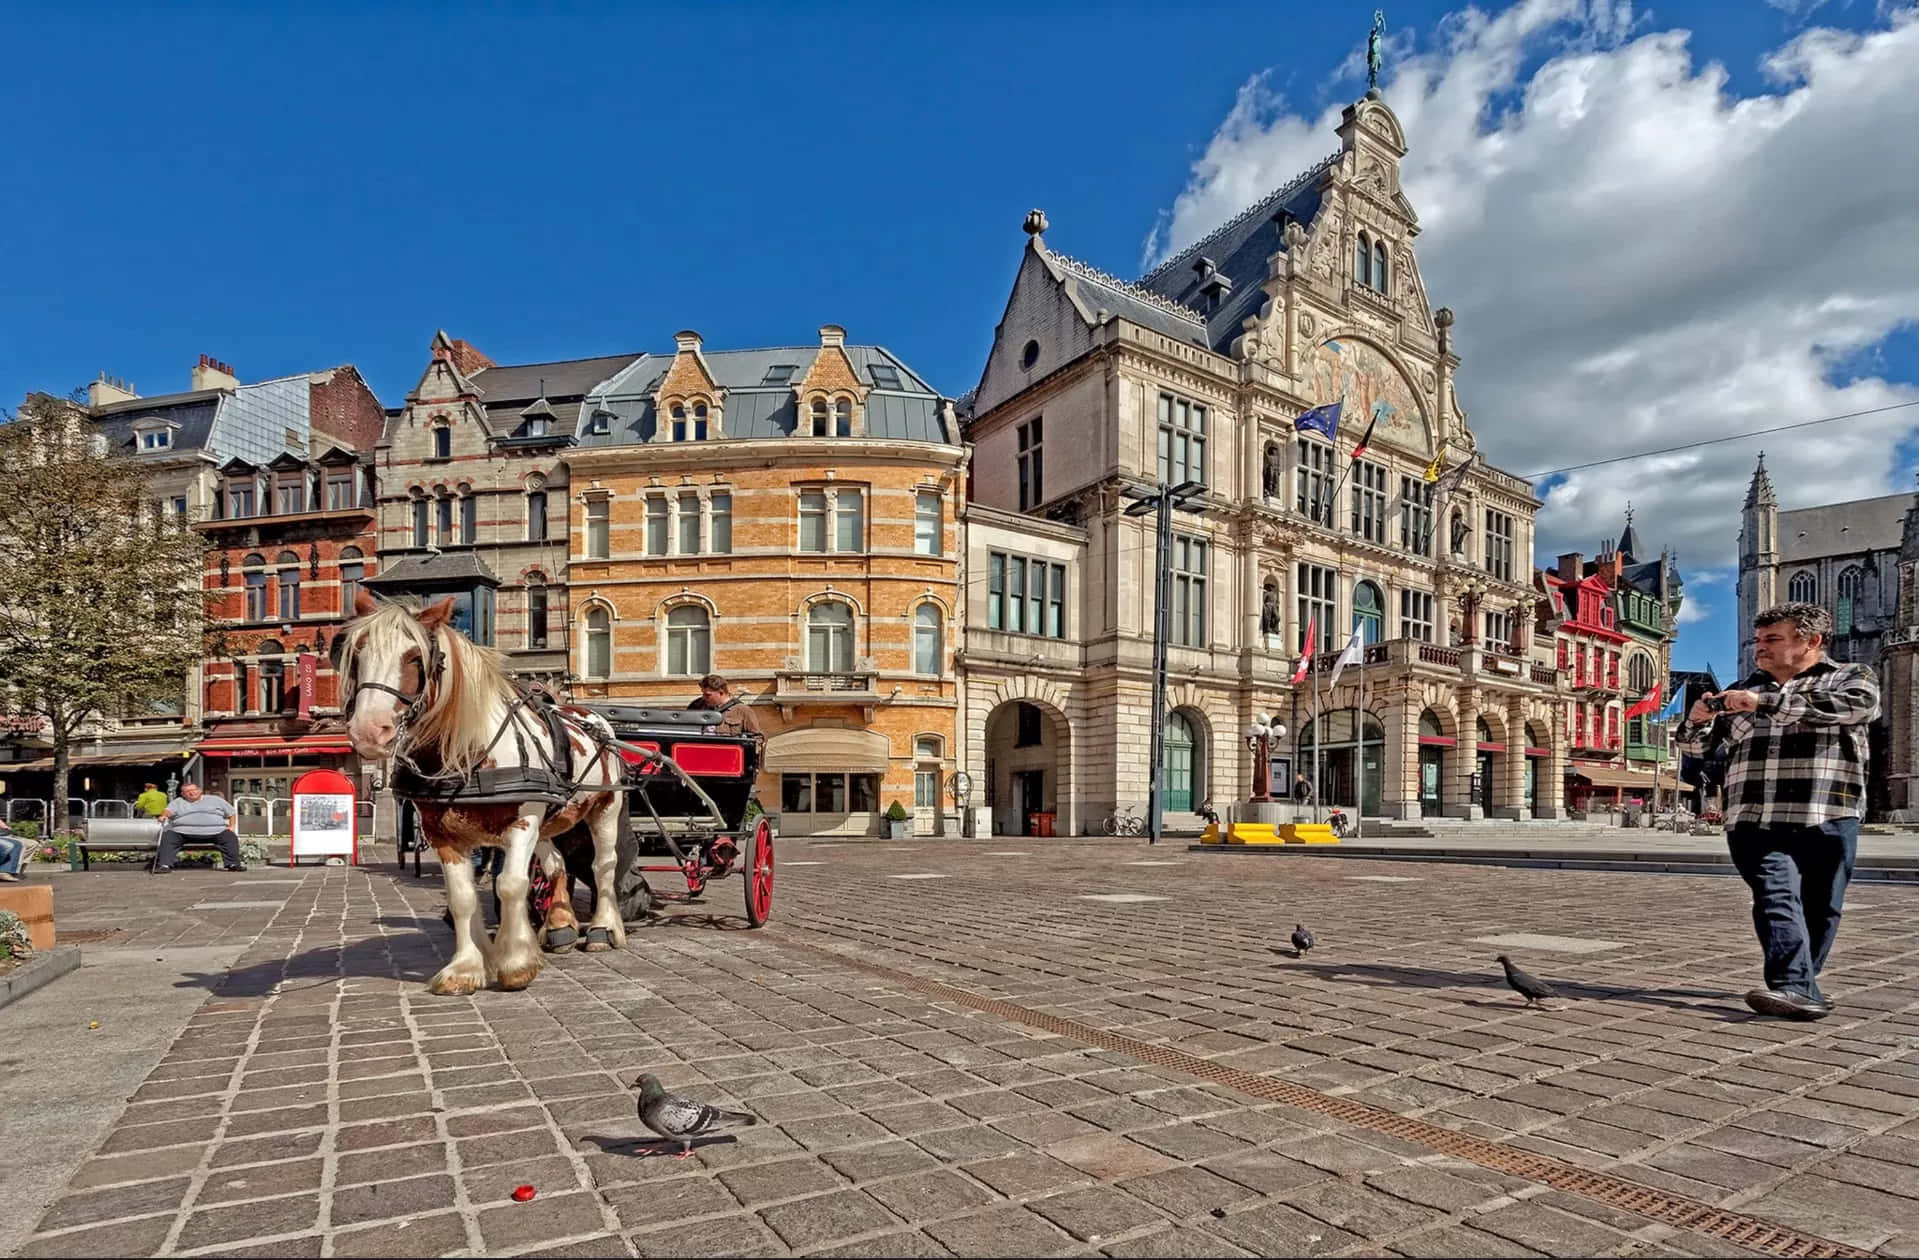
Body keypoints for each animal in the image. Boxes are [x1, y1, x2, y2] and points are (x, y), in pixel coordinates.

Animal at [333, 590, 625, 989]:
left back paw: (602, 930)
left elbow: (510, 884)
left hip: (605, 809)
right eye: (358, 654)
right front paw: (467, 967)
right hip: (549, 820)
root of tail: (592, 717)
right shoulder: (443, 834)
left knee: (603, 866)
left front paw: (515, 963)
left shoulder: (522, 823)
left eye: (415, 657)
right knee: (556, 864)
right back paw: (559, 926)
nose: (368, 731)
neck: (465, 751)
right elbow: (462, 898)